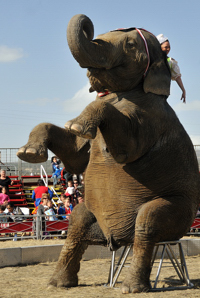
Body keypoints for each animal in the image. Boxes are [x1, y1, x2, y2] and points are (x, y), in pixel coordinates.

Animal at [17, 14, 200, 294]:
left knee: (147, 221)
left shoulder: (152, 119)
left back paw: (131, 287)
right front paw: (27, 153)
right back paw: (59, 283)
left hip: (181, 213)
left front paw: (77, 124)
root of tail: (118, 240)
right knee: (77, 222)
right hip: (89, 213)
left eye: (130, 45)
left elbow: (126, 149)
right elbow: (74, 156)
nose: (87, 26)